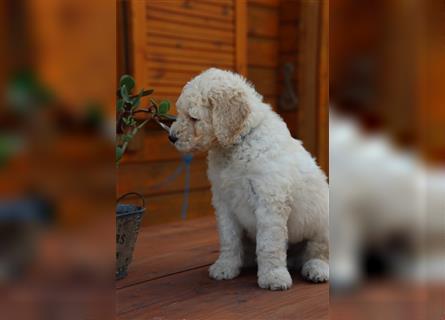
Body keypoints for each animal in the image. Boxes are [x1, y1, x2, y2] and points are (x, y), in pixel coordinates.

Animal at [168, 69, 328, 292]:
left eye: (193, 117)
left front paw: (273, 276)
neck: (237, 144)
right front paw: (226, 267)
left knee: (319, 251)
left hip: (322, 223)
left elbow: (269, 244)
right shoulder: (224, 202)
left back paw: (316, 269)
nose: (171, 137)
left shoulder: (270, 201)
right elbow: (229, 239)